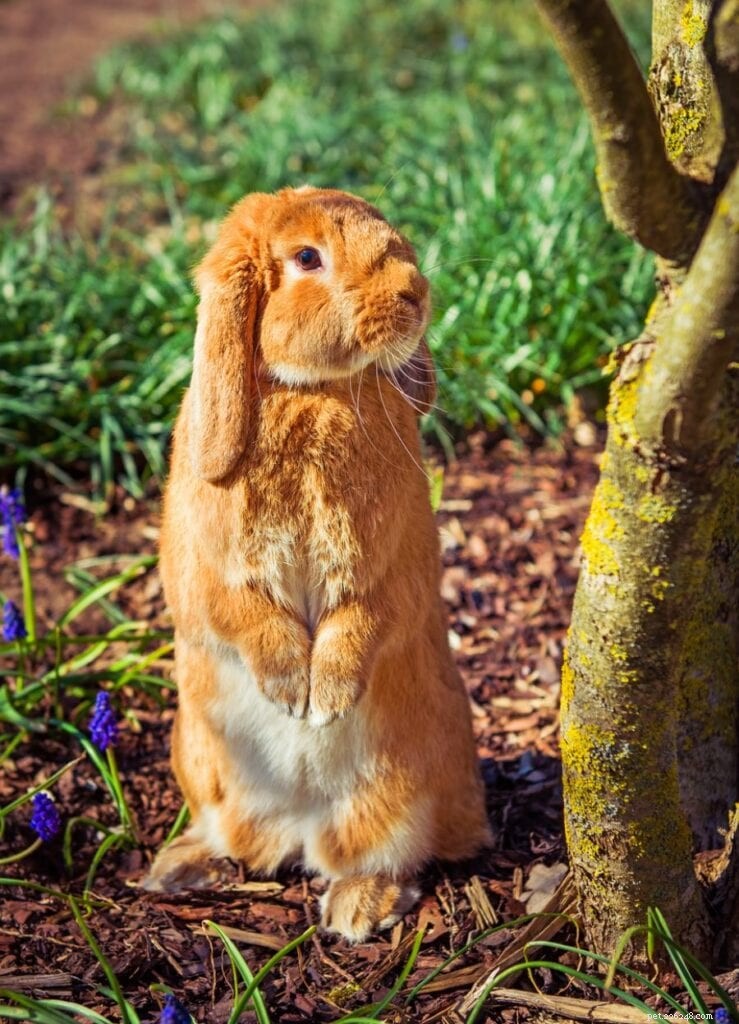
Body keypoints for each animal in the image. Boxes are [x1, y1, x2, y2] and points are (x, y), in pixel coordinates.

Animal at [143, 186, 491, 941]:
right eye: (307, 258)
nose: (415, 292)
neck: (311, 391)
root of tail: (296, 828)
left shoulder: (390, 570)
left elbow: (365, 618)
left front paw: (323, 699)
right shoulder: (207, 574)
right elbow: (241, 613)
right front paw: (288, 690)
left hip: (395, 795)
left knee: (386, 856)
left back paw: (359, 908)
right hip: (200, 765)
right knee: (236, 840)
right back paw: (179, 867)